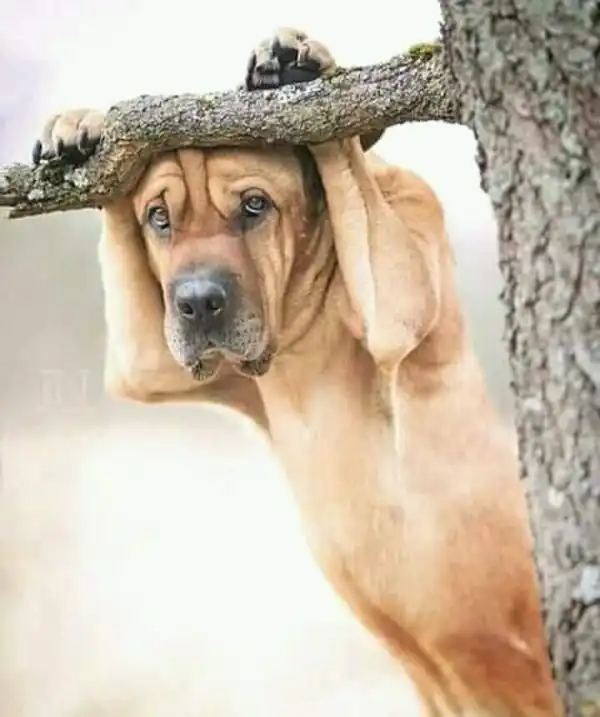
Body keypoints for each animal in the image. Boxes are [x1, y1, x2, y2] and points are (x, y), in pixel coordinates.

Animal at [32, 28, 562, 716]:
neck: (301, 335)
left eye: (255, 206)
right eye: (159, 218)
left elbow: (344, 155)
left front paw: (301, 67)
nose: (197, 301)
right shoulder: (147, 361)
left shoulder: (398, 290)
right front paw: (82, 129)